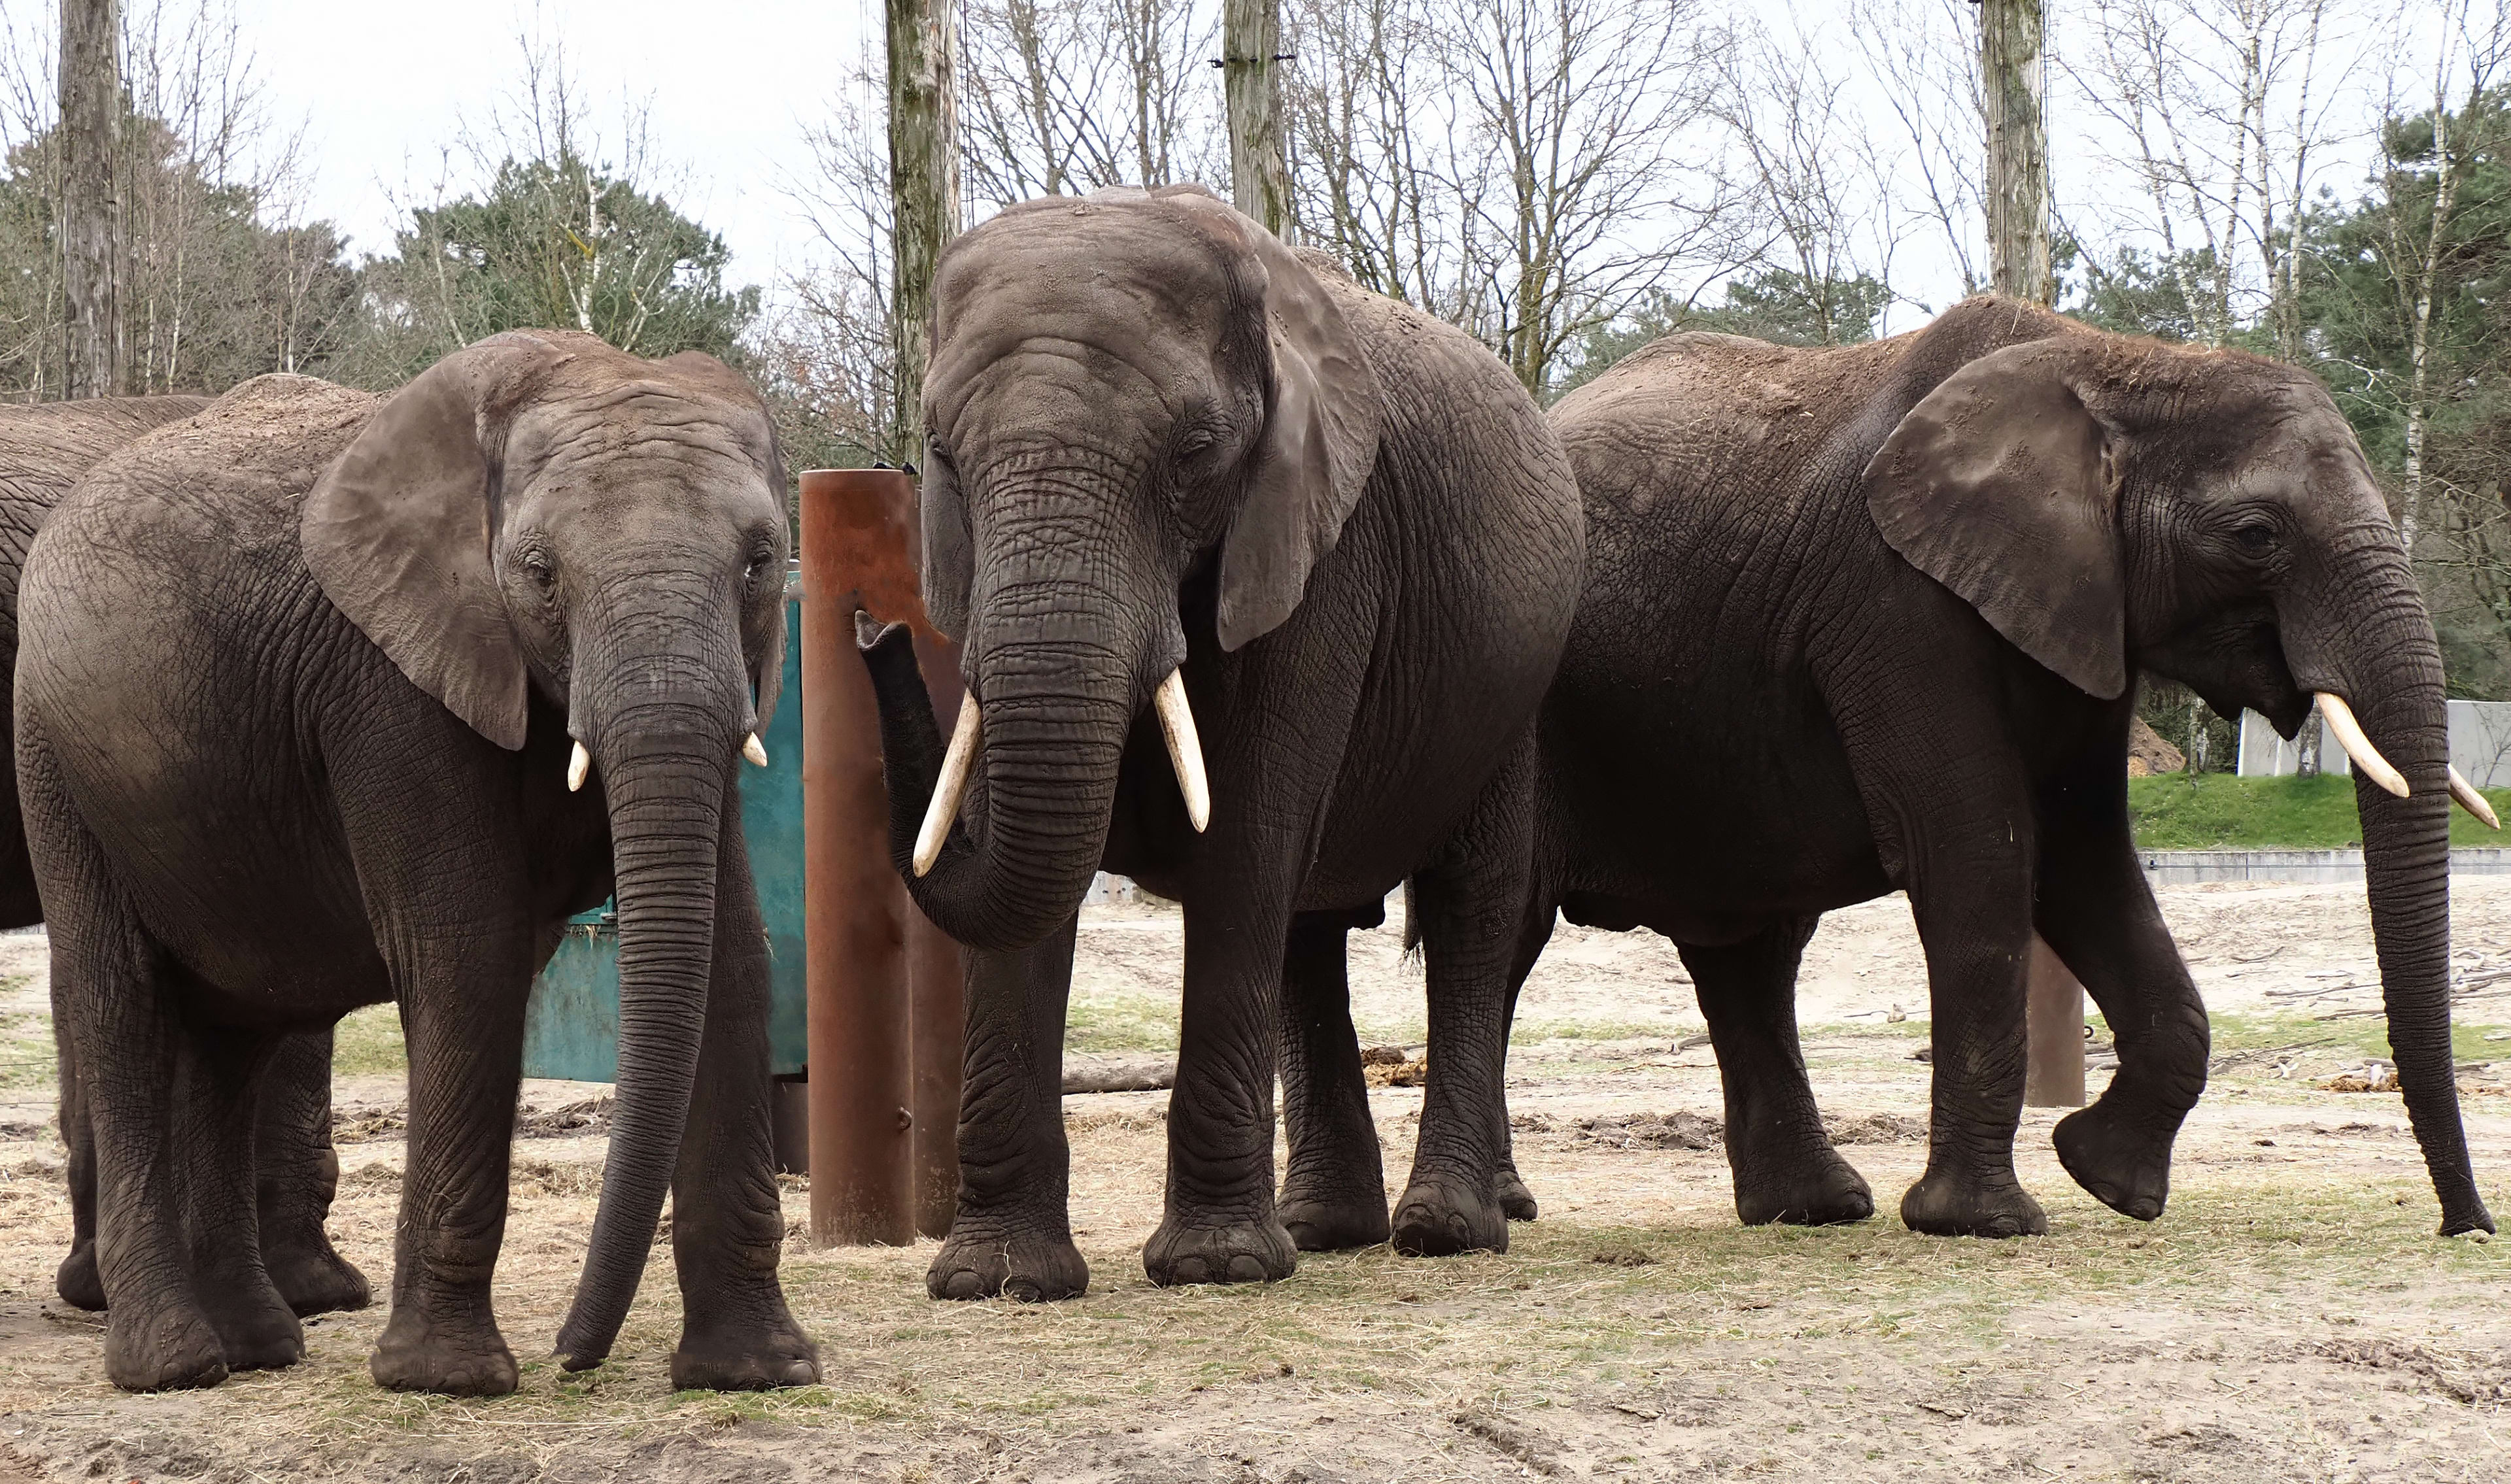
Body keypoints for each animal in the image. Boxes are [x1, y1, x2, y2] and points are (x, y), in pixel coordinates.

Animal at [22, 333, 823, 1396]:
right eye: (539, 573)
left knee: (231, 1032)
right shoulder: (387, 682)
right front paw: (448, 1379)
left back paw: (259, 1347)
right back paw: (175, 1366)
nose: (573, 1352)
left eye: (762, 561)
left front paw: (758, 1372)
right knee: (125, 1004)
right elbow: (467, 954)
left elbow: (731, 956)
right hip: (55, 759)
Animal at [853, 183, 1577, 1306]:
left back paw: (1445, 1231)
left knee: (1470, 907)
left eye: (1194, 452)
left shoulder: (1325, 552)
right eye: (941, 455)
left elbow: (1243, 841)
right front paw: (996, 1279)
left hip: (1512, 682)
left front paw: (1216, 1266)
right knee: (1309, 932)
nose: (872, 633)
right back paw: (1326, 1226)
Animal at [1295, 294, 2491, 1240]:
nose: (2467, 1227)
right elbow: (1980, 858)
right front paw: (1990, 1223)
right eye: (2255, 536)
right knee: (1515, 933)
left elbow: (2087, 866)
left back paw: (1812, 1209)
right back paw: (1508, 1210)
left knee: (1749, 950)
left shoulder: (2071, 614)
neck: (2117, 362)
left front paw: (2108, 1181)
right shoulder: (1897, 605)